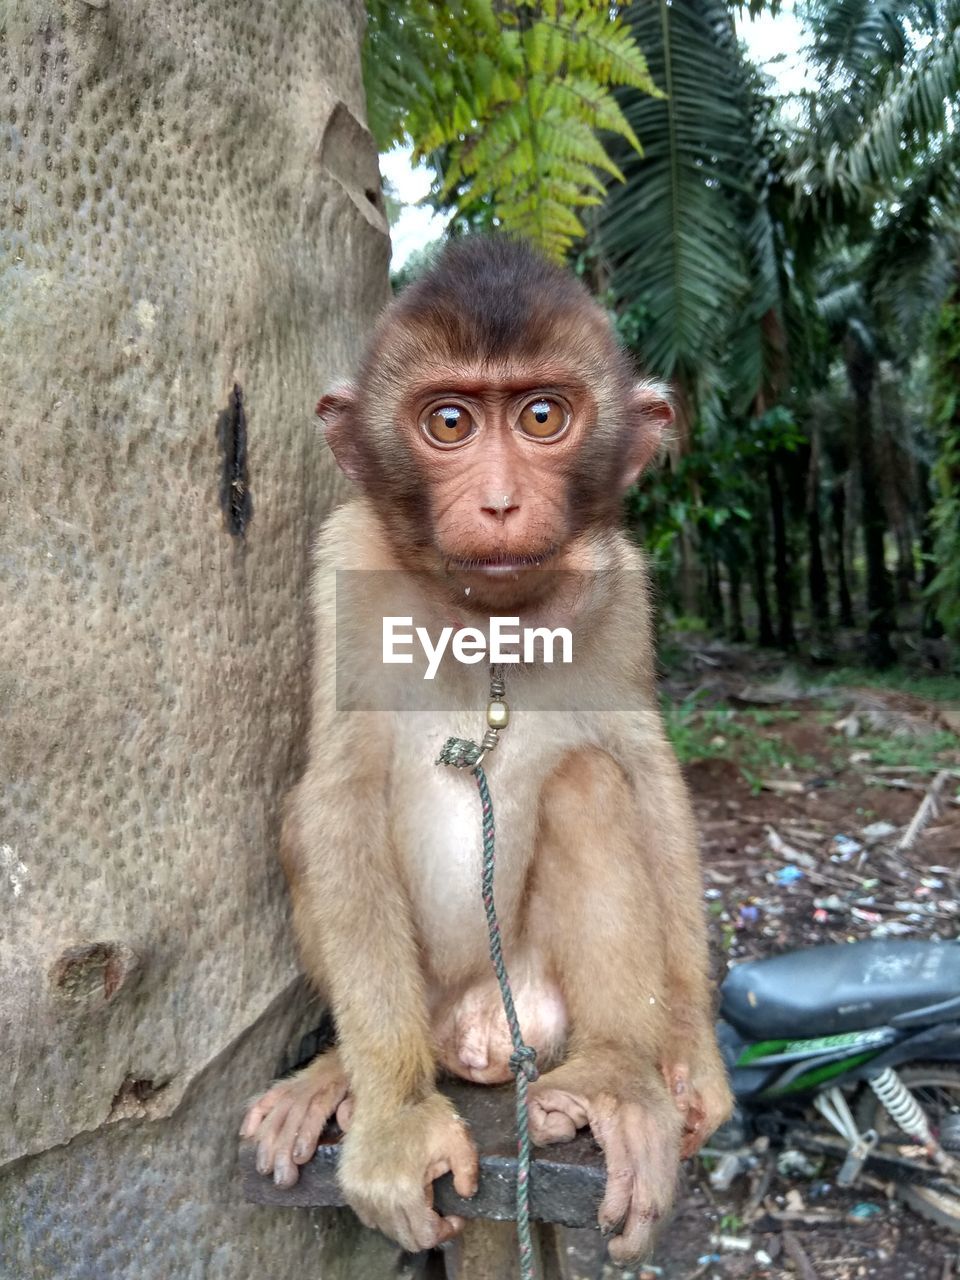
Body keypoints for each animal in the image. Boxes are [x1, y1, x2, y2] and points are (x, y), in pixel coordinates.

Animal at [240, 238, 727, 1259]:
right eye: (450, 422)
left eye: (542, 416)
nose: (501, 503)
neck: (489, 619)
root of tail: (476, 1032)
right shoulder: (342, 558)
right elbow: (337, 790)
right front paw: (393, 1121)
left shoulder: (623, 585)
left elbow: (646, 767)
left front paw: (695, 1064)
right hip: (426, 1001)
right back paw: (340, 1074)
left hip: (542, 1008)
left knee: (593, 782)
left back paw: (617, 1080)